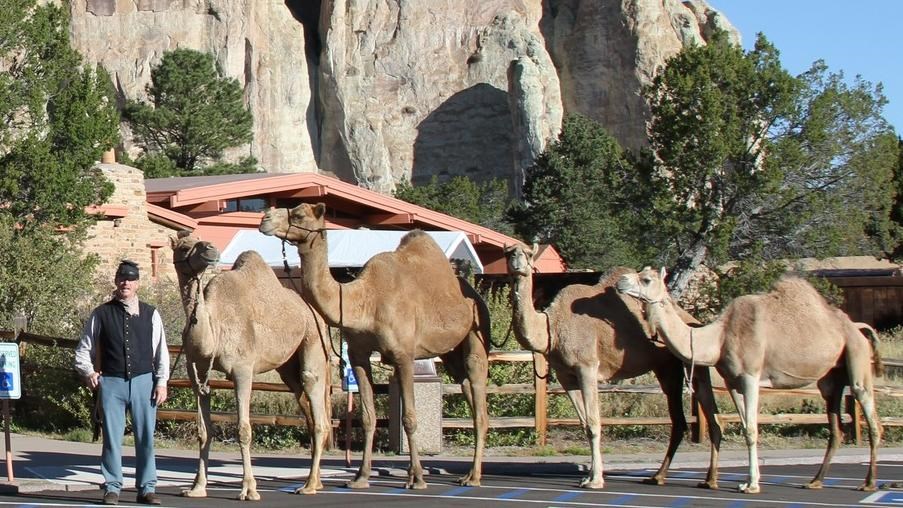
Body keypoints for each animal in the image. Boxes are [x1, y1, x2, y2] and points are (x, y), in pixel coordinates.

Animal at [170, 231, 332, 500]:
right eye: (183, 247)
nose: (211, 249)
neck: (213, 330)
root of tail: (316, 312)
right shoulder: (197, 374)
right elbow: (204, 431)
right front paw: (197, 488)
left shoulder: (242, 371)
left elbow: (243, 430)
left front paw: (249, 489)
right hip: (288, 368)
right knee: (305, 405)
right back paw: (317, 481)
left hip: (313, 340)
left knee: (315, 402)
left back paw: (308, 485)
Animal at [258, 201, 490, 488]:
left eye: (299, 214)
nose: (265, 219)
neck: (363, 300)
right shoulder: (358, 354)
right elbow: (368, 417)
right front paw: (361, 477)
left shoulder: (403, 354)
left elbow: (409, 417)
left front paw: (417, 478)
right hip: (452, 353)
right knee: (466, 385)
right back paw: (468, 473)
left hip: (477, 332)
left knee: (479, 400)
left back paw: (474, 477)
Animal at [504, 244, 724, 490]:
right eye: (508, 253)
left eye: (529, 254)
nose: (517, 261)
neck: (552, 327)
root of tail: (690, 319)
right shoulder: (565, 375)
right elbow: (584, 423)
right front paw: (588, 476)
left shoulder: (587, 366)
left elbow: (593, 423)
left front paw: (595, 480)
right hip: (665, 368)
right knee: (679, 421)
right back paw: (659, 476)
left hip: (684, 364)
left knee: (704, 417)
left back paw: (708, 479)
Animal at [616, 268, 888, 494]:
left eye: (646, 279)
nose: (620, 281)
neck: (719, 337)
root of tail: (857, 327)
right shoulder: (733, 382)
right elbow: (746, 424)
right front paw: (746, 481)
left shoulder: (750, 377)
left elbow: (751, 429)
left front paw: (752, 485)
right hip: (831, 378)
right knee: (835, 424)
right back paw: (815, 481)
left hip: (857, 358)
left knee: (871, 414)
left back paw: (869, 483)